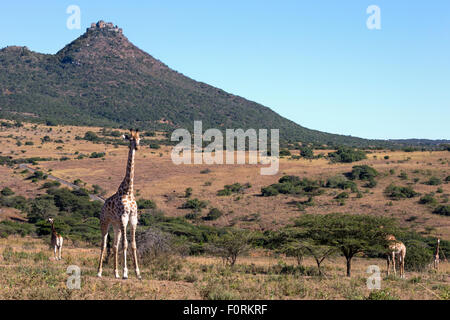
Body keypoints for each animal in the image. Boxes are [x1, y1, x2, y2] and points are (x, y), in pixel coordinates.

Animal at [96, 129, 141, 278]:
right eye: (130, 139)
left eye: (139, 139)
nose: (137, 147)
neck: (129, 191)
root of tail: (103, 206)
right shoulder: (124, 217)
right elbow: (125, 244)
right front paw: (125, 273)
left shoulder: (133, 218)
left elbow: (133, 244)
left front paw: (138, 273)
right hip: (105, 222)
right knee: (103, 244)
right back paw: (99, 272)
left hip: (116, 226)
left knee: (115, 246)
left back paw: (115, 273)